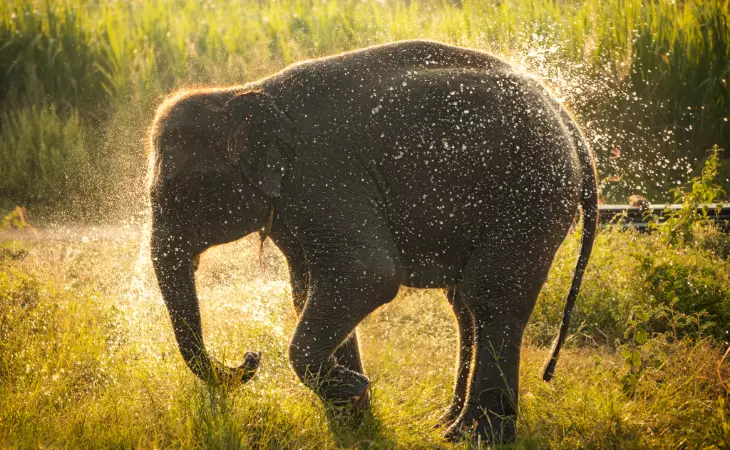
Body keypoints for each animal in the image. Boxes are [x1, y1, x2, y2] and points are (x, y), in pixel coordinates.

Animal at [147, 40, 597, 443]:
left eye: (179, 191)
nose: (250, 357)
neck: (241, 92)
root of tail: (568, 119)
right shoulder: (298, 203)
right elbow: (310, 288)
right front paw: (352, 420)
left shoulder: (324, 176)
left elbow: (367, 274)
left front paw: (352, 389)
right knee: (465, 303)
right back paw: (447, 425)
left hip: (528, 195)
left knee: (491, 294)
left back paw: (477, 436)